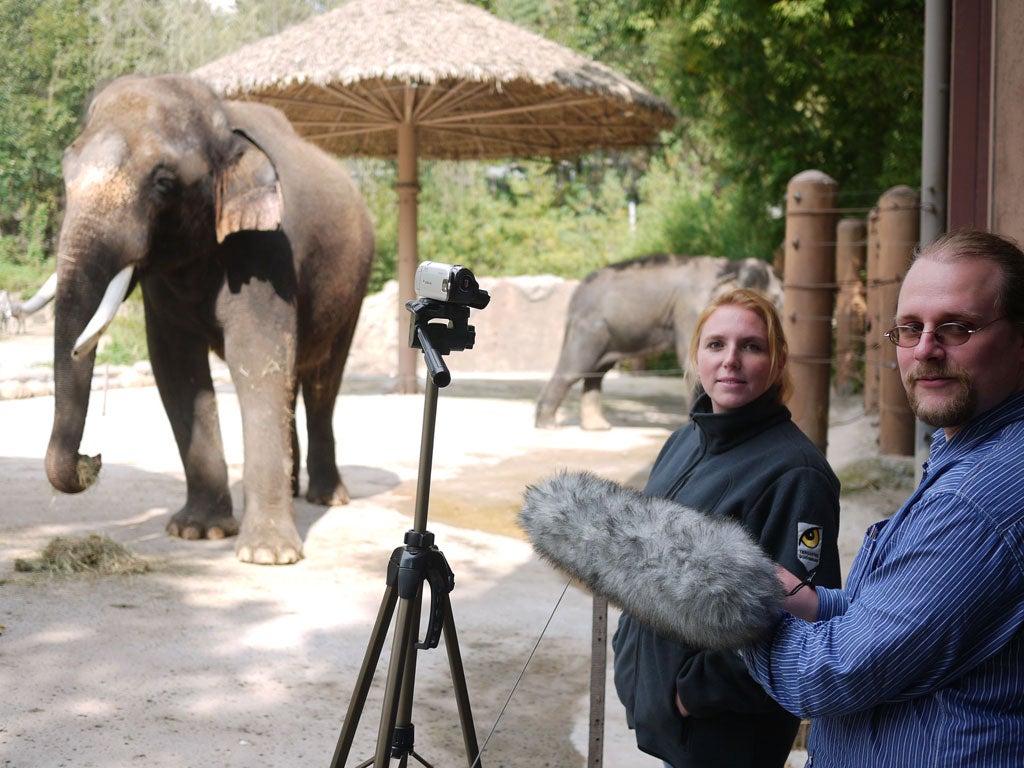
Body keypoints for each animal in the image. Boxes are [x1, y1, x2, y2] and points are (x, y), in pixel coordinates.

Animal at [46, 73, 376, 565]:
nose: (93, 459)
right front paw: (198, 532)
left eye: (163, 183)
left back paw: (326, 498)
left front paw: (267, 555)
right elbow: (176, 367)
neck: (221, 120)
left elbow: (256, 359)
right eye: (66, 171)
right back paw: (294, 490)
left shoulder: (267, 248)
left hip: (354, 281)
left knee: (323, 379)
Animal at [536, 253, 782, 430]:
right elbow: (691, 361)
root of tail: (574, 296)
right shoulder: (689, 308)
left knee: (597, 373)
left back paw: (597, 428)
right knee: (575, 369)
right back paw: (548, 425)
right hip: (590, 329)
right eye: (776, 299)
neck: (731, 265)